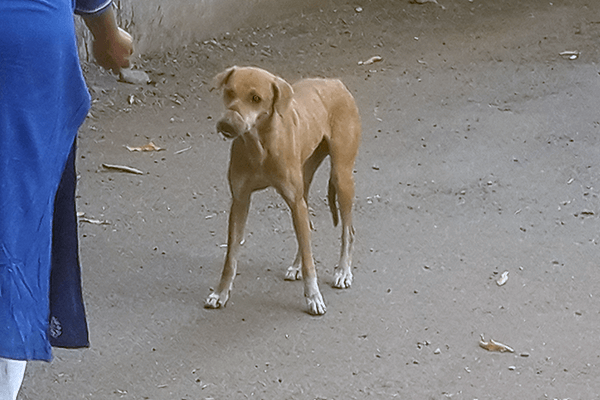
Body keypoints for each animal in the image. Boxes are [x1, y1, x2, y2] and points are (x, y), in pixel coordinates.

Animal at [205, 66, 360, 316]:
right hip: (305, 181)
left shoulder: (295, 201)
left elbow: (310, 262)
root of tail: (335, 82)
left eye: (256, 98)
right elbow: (230, 258)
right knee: (307, 231)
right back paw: (296, 265)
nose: (227, 125)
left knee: (348, 231)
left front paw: (313, 297)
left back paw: (343, 271)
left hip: (341, 176)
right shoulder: (240, 201)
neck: (260, 146)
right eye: (229, 92)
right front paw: (220, 293)